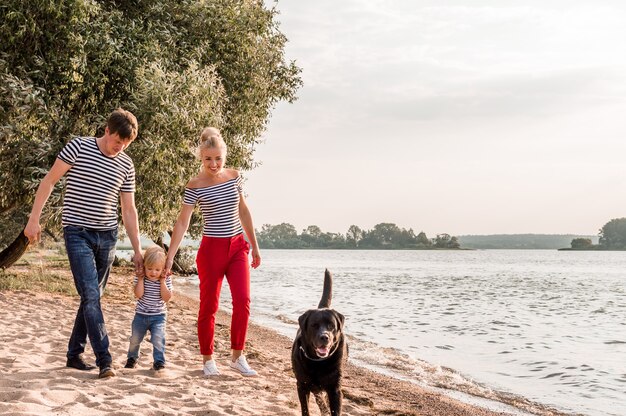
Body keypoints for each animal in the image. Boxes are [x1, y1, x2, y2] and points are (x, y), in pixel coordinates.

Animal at [292, 268, 346, 414]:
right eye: (314, 325)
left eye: (331, 325)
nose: (324, 337)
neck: (317, 362)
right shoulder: (302, 385)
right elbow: (305, 409)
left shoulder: (335, 390)